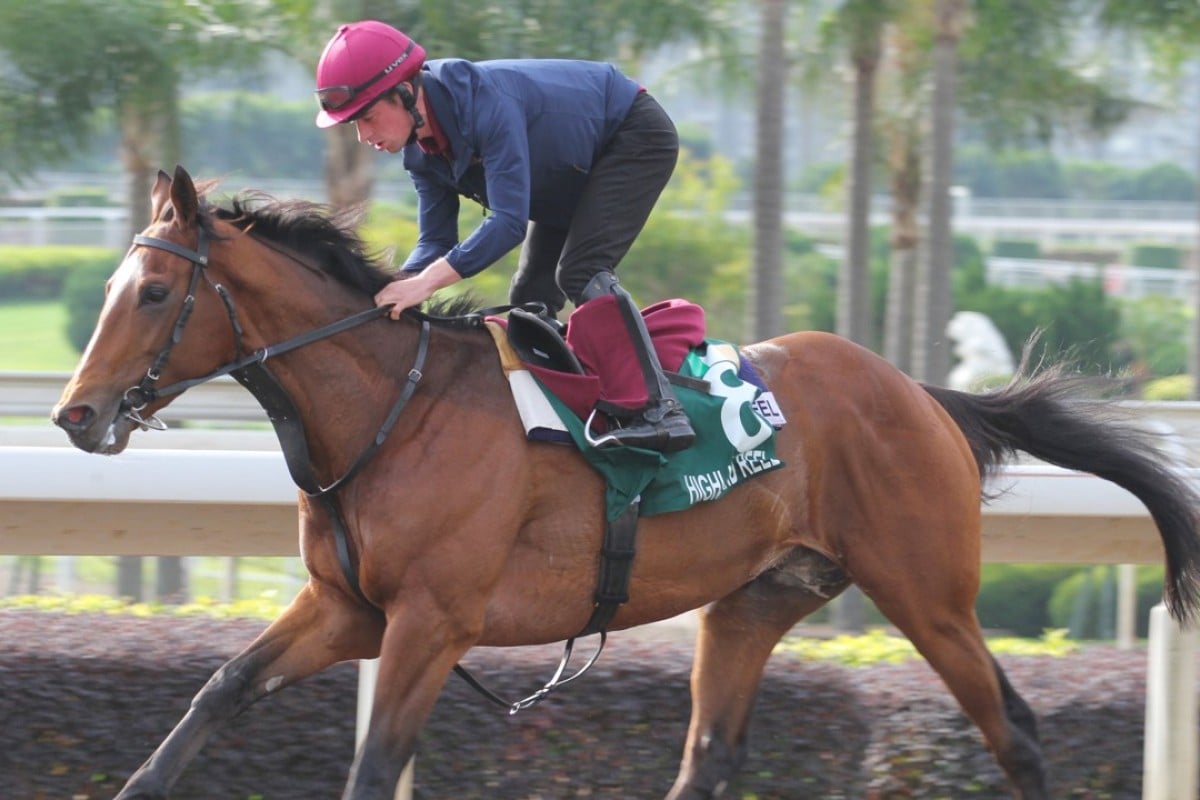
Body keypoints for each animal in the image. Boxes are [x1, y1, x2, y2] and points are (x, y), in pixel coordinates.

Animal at [51, 165, 1200, 796]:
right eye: (111, 283)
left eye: (151, 292)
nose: (74, 413)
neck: (389, 410)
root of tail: (921, 392)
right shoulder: (348, 609)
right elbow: (216, 695)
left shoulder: (431, 619)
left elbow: (375, 766)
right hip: (753, 603)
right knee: (710, 758)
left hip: (927, 590)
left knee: (1016, 730)